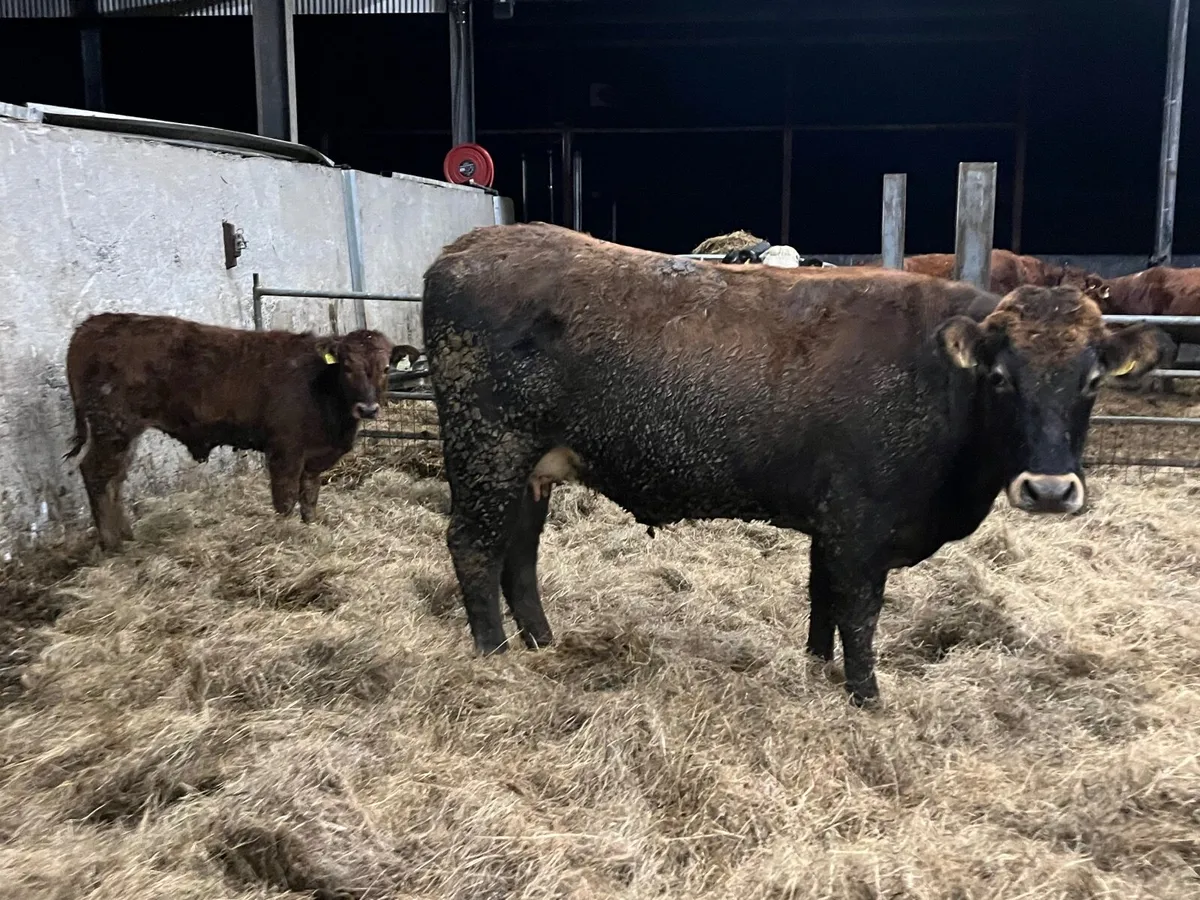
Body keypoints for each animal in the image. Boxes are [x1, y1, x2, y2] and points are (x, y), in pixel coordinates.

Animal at [64, 312, 399, 551]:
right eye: (346, 366)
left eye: (386, 368)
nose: (368, 409)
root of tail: (92, 324)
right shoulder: (285, 451)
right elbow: (286, 499)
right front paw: (286, 536)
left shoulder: (314, 457)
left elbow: (310, 497)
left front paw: (311, 528)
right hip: (112, 426)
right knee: (96, 474)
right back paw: (113, 545)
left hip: (123, 432)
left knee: (114, 479)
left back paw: (127, 536)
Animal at [421, 223, 1164, 707]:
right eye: (1003, 379)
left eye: (1092, 380)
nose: (1049, 489)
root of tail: (467, 247)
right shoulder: (861, 525)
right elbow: (859, 613)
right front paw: (867, 699)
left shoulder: (831, 525)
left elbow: (822, 602)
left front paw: (816, 671)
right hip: (487, 449)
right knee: (474, 545)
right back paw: (494, 656)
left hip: (530, 467)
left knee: (518, 552)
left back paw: (543, 645)